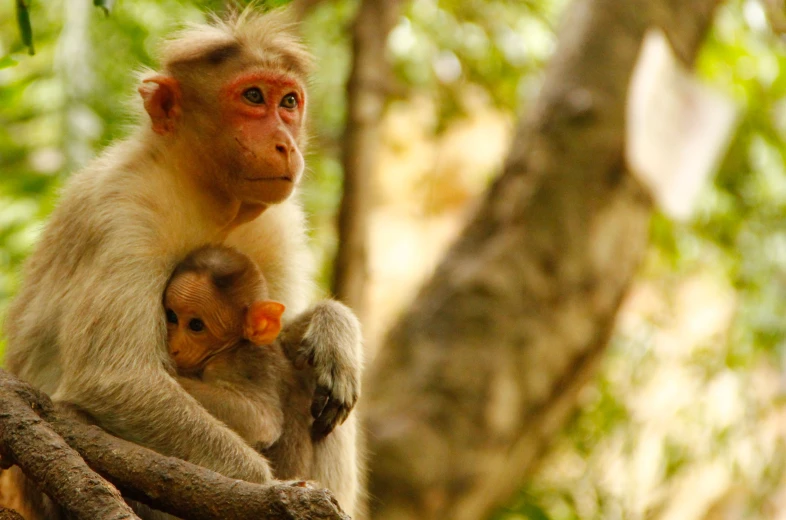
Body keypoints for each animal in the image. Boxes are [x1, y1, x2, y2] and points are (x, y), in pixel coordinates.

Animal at [162, 246, 312, 478]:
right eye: (172, 316)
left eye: (196, 325)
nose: (173, 348)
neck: (232, 347)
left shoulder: (241, 364)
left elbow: (262, 421)